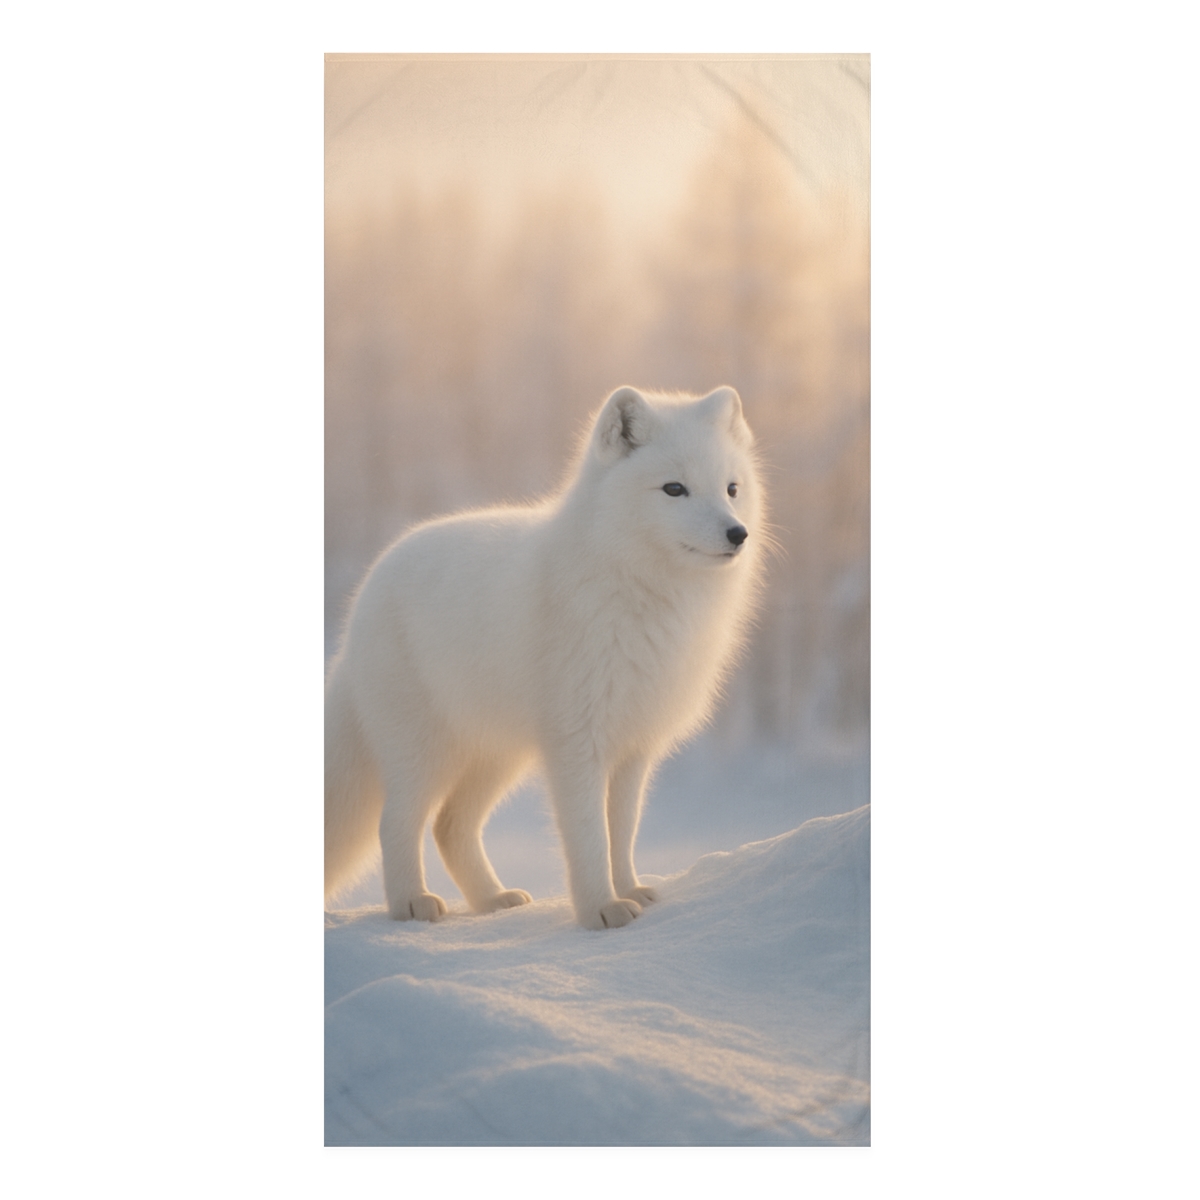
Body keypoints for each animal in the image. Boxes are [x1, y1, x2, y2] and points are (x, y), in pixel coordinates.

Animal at [324, 385, 767, 930]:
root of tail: (363, 596)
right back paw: (411, 904)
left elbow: (622, 833)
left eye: (731, 489)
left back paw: (492, 900)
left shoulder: (633, 745)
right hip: (424, 752)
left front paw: (629, 890)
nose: (737, 534)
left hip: (496, 757)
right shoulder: (577, 743)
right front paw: (601, 910)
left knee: (450, 826)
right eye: (674, 489)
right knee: (396, 823)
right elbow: (589, 836)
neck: (643, 591)